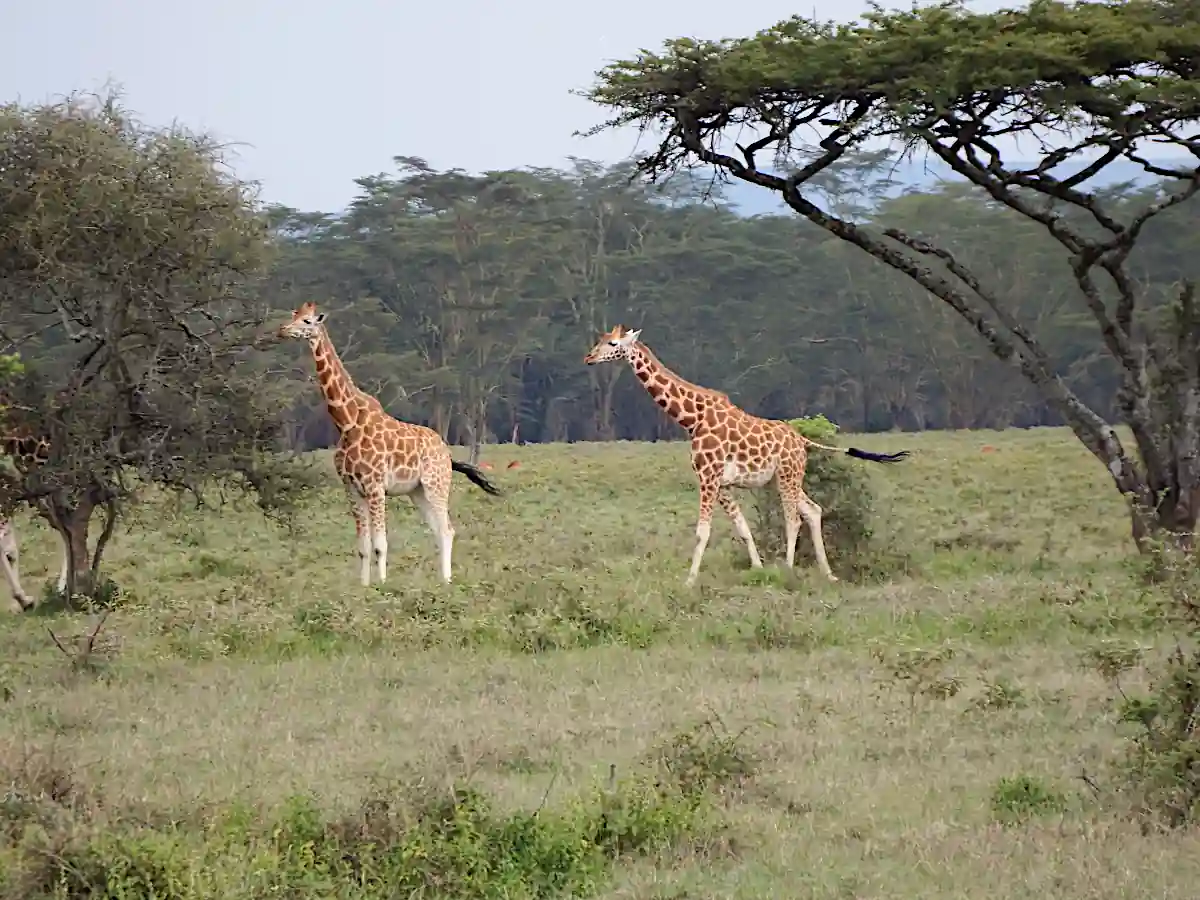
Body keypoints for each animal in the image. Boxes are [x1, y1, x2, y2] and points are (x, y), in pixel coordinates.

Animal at [278, 301, 502, 585]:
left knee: (447, 529)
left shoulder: (375, 487)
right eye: (294, 315)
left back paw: (447, 582)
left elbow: (380, 545)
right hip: (418, 492)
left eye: (307, 321)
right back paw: (442, 582)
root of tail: (447, 454)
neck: (347, 422)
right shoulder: (352, 489)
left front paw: (383, 585)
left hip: (436, 485)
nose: (282, 330)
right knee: (438, 530)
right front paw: (364, 587)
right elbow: (363, 547)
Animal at [584, 325, 910, 586]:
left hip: (788, 474)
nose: (588, 358)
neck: (692, 419)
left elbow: (702, 531)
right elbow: (742, 528)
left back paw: (788, 569)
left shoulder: (708, 476)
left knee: (793, 518)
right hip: (784, 477)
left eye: (613, 343)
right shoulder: (723, 484)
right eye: (601, 340)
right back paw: (828, 574)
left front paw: (689, 581)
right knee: (813, 510)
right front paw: (758, 568)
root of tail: (801, 439)